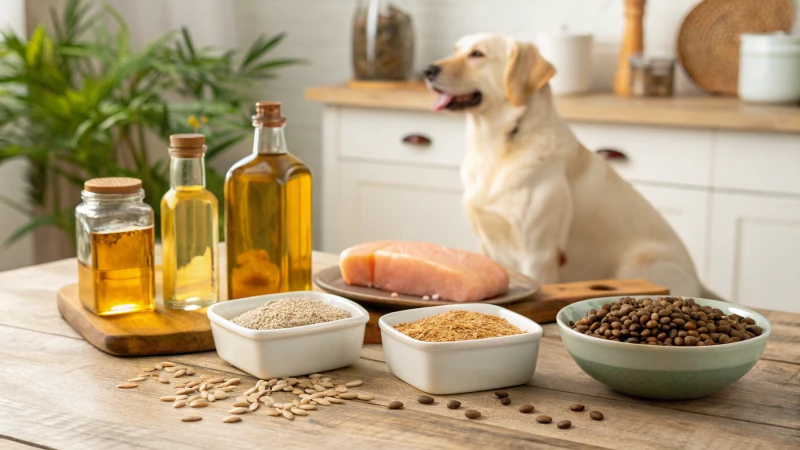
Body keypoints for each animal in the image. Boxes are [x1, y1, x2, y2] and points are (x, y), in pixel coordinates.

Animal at [424, 32, 720, 298]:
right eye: (455, 49)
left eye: (477, 54)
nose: (427, 70)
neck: (500, 142)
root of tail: (700, 284)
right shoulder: (487, 243)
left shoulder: (539, 253)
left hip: (639, 263)